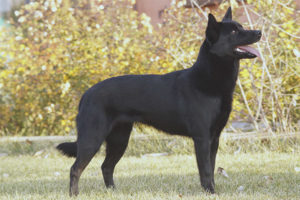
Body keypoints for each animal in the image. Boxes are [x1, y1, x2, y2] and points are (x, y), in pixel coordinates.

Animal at [56, 7, 260, 195]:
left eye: (241, 27)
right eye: (233, 32)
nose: (259, 32)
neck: (209, 81)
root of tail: (86, 94)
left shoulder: (214, 138)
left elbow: (212, 166)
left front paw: (211, 191)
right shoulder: (202, 138)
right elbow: (206, 170)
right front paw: (210, 192)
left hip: (119, 139)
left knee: (106, 166)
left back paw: (113, 192)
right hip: (93, 138)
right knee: (75, 169)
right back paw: (74, 195)